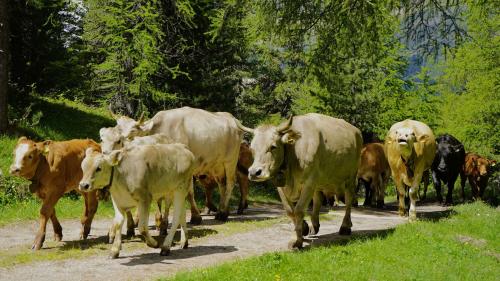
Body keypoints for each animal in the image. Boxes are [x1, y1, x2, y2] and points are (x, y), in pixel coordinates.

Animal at [102, 106, 243, 220]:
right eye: (117, 128)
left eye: (133, 132)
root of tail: (232, 119)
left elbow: (189, 191)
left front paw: (195, 217)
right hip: (217, 165)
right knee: (222, 184)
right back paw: (222, 210)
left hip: (231, 160)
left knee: (231, 182)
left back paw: (223, 214)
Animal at [236, 112, 362, 248]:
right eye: (252, 148)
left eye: (273, 146)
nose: (254, 172)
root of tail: (355, 130)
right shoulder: (281, 186)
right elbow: (290, 211)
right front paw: (303, 228)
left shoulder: (309, 183)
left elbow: (299, 209)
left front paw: (297, 241)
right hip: (319, 181)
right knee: (318, 200)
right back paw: (314, 226)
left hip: (350, 178)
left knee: (348, 201)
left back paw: (345, 226)